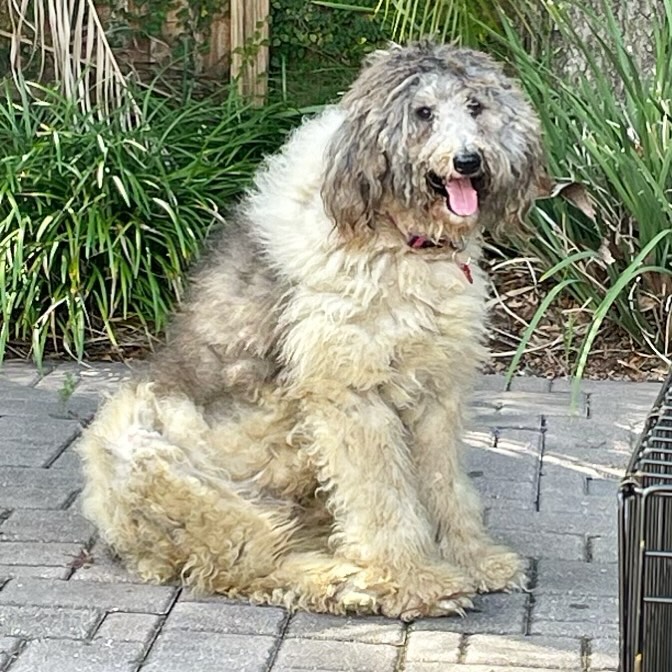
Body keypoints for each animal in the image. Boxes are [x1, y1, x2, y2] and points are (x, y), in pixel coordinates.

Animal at [76, 40, 548, 620]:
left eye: (476, 106)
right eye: (423, 113)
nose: (468, 161)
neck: (399, 240)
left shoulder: (436, 391)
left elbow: (444, 487)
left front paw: (474, 560)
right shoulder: (350, 395)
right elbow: (382, 497)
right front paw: (414, 581)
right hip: (172, 470)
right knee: (250, 565)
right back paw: (352, 583)